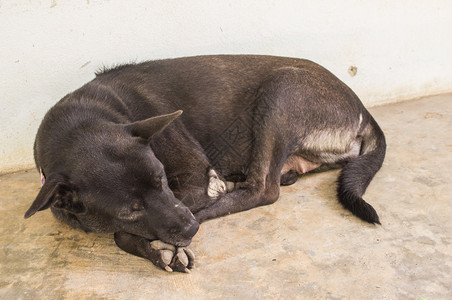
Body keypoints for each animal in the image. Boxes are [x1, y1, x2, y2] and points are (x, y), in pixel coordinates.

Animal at [23, 55, 384, 274]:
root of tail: (363, 109)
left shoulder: (192, 176)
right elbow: (124, 230)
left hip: (281, 89)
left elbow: (119, 235)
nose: (191, 230)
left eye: (162, 180)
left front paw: (163, 247)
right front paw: (159, 248)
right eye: (129, 210)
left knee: (264, 190)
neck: (88, 117)